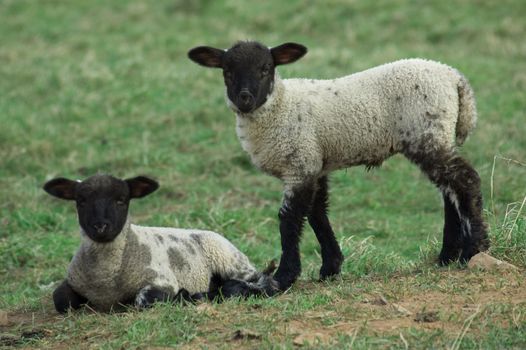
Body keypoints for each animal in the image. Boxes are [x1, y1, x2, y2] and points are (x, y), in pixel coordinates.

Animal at [44, 174, 280, 314]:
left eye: (121, 200)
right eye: (81, 202)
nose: (101, 227)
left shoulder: (162, 281)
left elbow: (143, 300)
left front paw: (178, 297)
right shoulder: (74, 281)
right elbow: (60, 299)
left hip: (231, 261)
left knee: (259, 281)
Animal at [189, 40, 490, 290]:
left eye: (266, 69)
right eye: (227, 71)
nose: (245, 98)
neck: (281, 105)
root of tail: (455, 78)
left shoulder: (300, 163)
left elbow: (289, 220)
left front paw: (284, 277)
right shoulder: (314, 164)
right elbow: (317, 214)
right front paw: (330, 268)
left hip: (426, 134)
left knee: (466, 180)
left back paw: (475, 249)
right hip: (436, 136)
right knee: (450, 191)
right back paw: (447, 256)